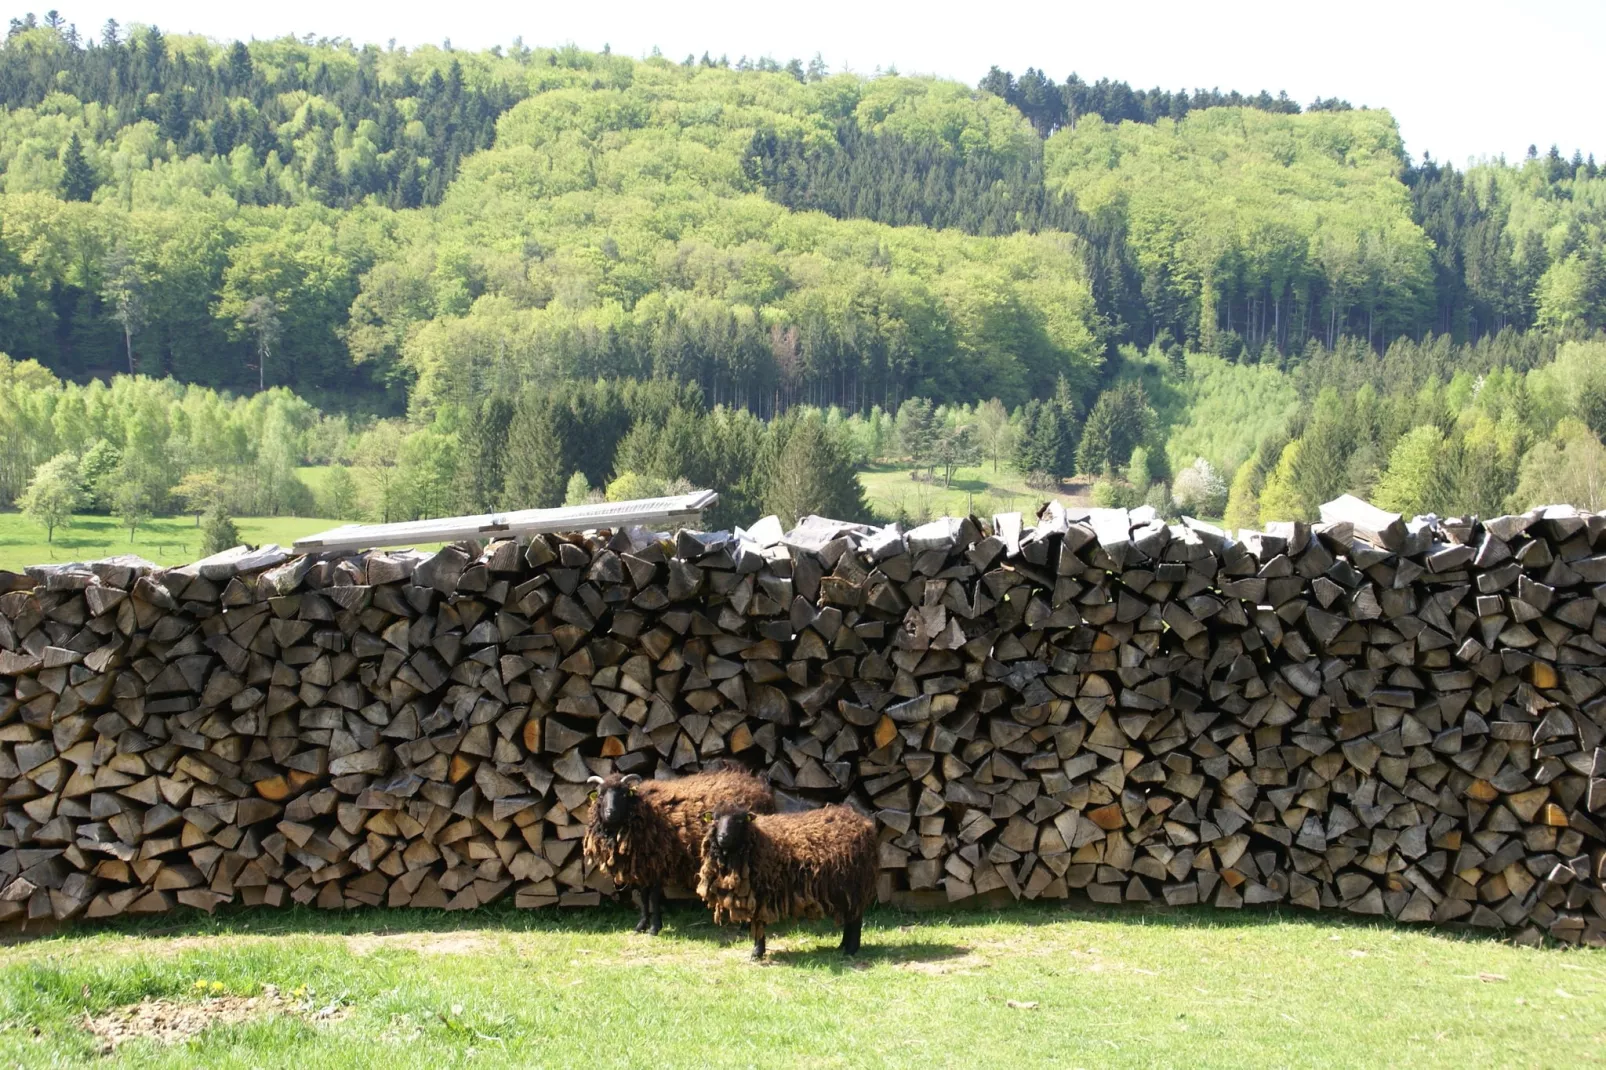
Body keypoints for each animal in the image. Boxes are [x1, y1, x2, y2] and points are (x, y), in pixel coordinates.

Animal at [581, 761, 774, 931]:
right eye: (600, 795)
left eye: (623, 795)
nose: (610, 813)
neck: (644, 810)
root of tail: (760, 785)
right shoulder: (642, 866)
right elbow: (643, 897)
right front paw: (641, 925)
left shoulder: (658, 861)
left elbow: (654, 897)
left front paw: (655, 928)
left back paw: (746, 924)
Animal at [690, 800, 873, 957]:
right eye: (715, 818)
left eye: (739, 821)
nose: (723, 837)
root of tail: (861, 821)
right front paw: (758, 951)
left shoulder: (760, 891)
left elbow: (758, 921)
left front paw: (757, 952)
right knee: (851, 917)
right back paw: (842, 946)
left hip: (854, 884)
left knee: (855, 919)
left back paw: (850, 950)